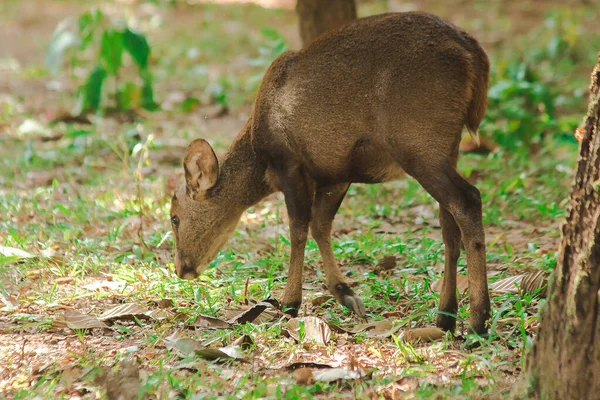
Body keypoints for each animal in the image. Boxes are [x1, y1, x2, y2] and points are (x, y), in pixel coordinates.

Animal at [169, 10, 492, 332]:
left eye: (175, 217)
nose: (182, 269)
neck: (259, 154)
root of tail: (474, 57)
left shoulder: (290, 163)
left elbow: (298, 227)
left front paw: (289, 303)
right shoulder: (335, 173)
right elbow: (321, 225)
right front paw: (347, 294)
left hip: (418, 142)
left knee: (468, 200)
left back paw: (478, 319)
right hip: (446, 147)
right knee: (449, 224)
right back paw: (446, 316)